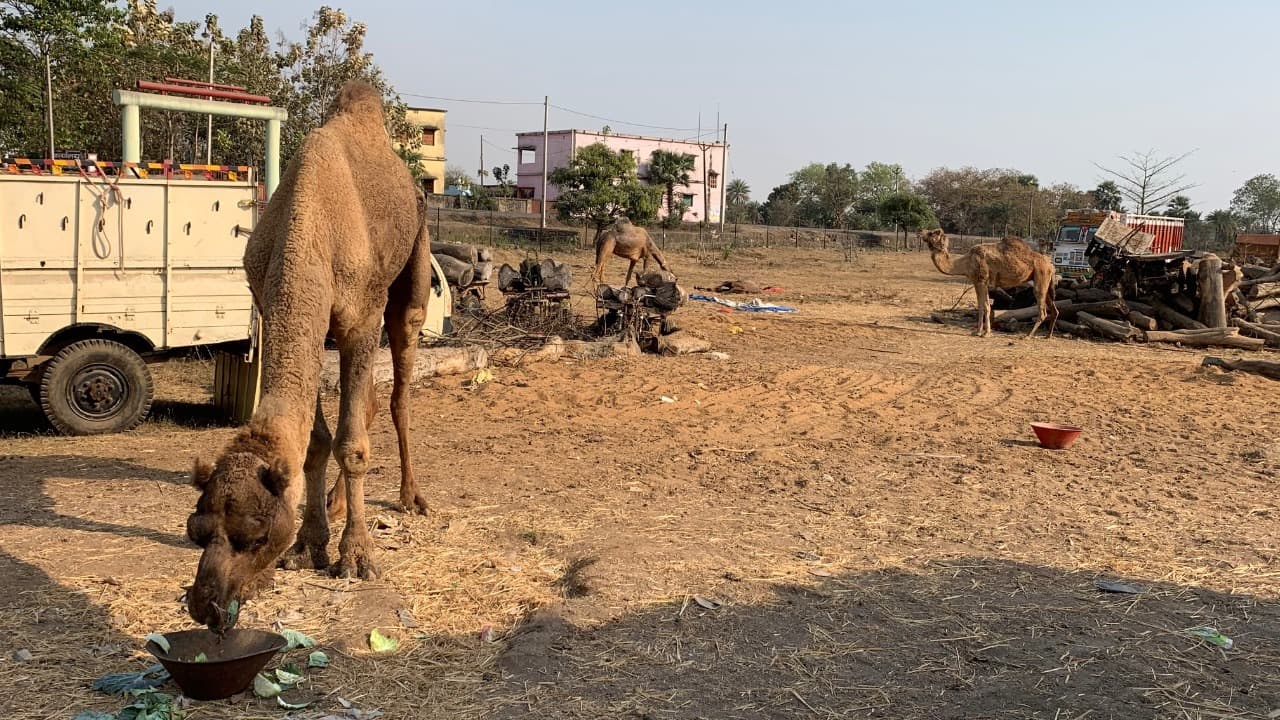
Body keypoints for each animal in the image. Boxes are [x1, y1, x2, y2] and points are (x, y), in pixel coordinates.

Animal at [185, 81, 432, 631]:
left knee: (399, 389)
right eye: (196, 530)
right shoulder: (285, 312)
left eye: (256, 536)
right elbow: (317, 441)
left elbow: (352, 446)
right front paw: (308, 544)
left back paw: (411, 497)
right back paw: (338, 505)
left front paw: (356, 556)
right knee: (366, 403)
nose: (205, 604)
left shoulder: (360, 316)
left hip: (413, 270)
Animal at [919, 228, 1059, 338]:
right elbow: (981, 306)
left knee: (1042, 310)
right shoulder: (976, 282)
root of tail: (1051, 265)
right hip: (1045, 281)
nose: (920, 232)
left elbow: (986, 306)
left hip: (1041, 275)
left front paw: (986, 333)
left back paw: (1028, 336)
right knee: (1054, 309)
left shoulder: (982, 281)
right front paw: (977, 332)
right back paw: (1048, 335)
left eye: (931, 233)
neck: (966, 262)